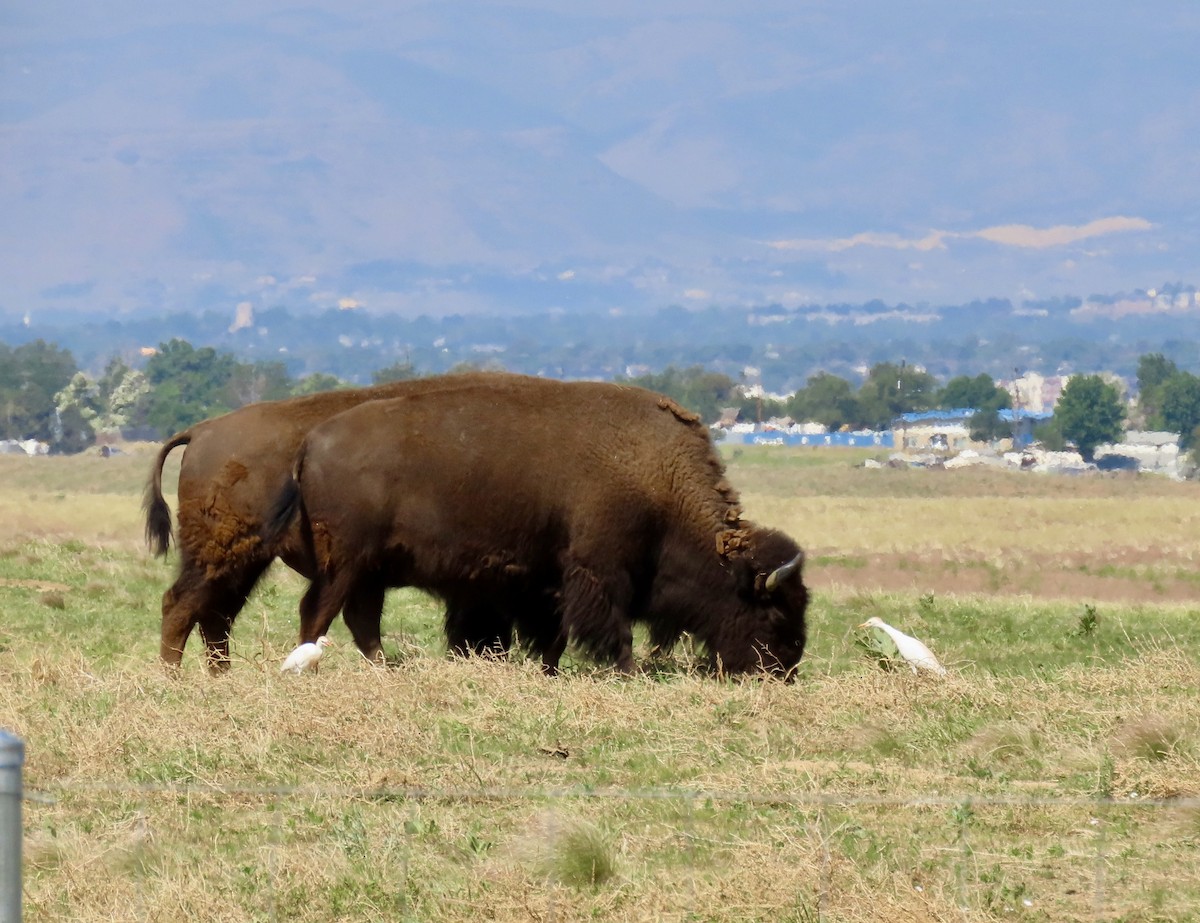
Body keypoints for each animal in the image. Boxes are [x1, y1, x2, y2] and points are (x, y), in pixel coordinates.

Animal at [144, 369, 549, 672]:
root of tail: (201, 431)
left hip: (245, 561)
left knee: (215, 615)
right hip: (224, 556)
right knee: (182, 605)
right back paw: (173, 676)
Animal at [261, 376, 806, 676]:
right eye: (775, 613)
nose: (784, 670)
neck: (657, 477)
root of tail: (310, 444)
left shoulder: (550, 581)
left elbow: (556, 633)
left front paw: (549, 670)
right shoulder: (598, 572)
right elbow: (611, 628)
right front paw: (626, 672)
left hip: (368, 571)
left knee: (360, 619)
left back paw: (384, 667)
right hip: (346, 564)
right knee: (320, 612)